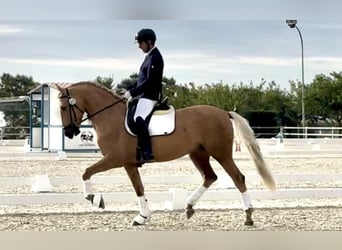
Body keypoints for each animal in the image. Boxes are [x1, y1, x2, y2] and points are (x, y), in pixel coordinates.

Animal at [55, 81, 276, 227]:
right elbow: (139, 188)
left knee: (237, 178)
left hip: (221, 154)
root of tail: (224, 112)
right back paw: (189, 206)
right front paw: (142, 217)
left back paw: (248, 217)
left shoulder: (115, 159)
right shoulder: (129, 164)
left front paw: (94, 198)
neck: (111, 118)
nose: (69, 132)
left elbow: (86, 172)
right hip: (199, 154)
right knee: (210, 177)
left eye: (64, 107)